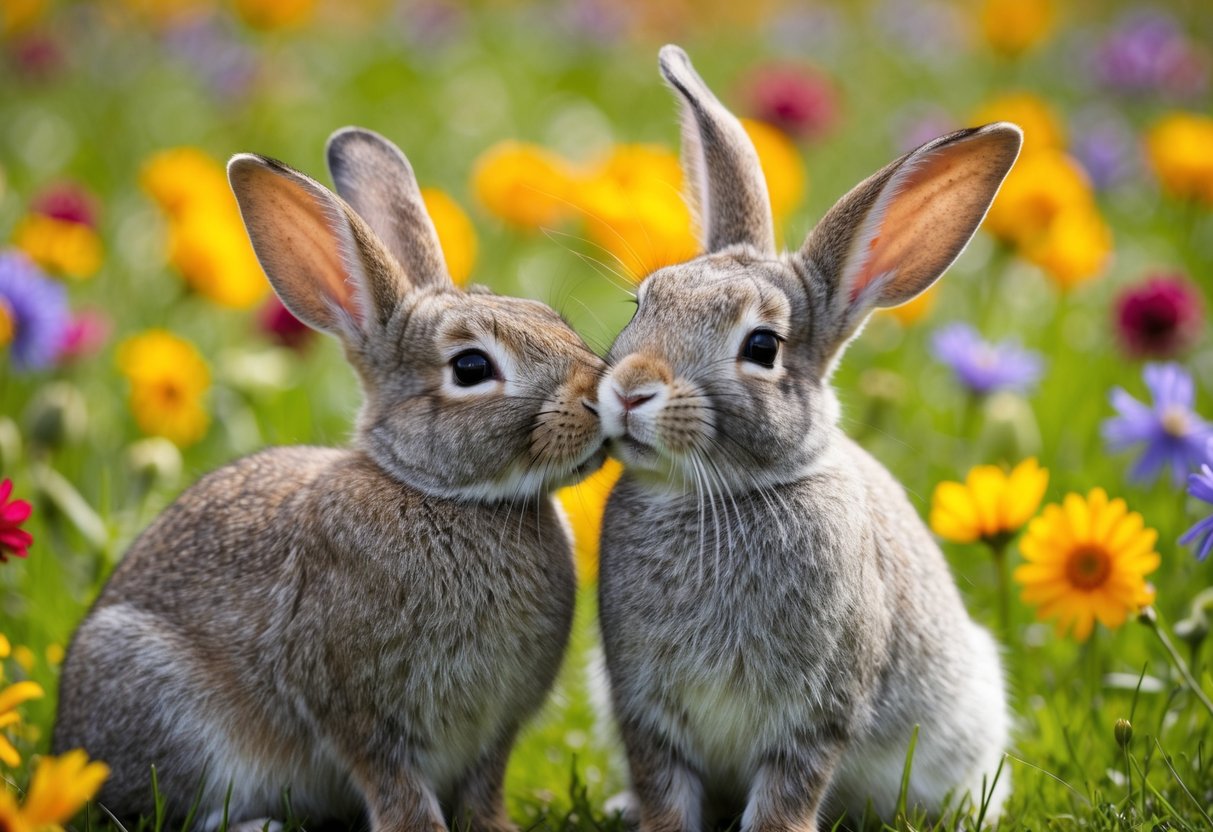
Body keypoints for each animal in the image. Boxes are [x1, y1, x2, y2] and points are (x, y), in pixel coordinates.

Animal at [53, 127, 606, 832]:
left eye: (548, 316)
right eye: (471, 367)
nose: (600, 398)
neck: (436, 493)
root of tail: (67, 741)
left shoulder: (494, 732)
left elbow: (483, 789)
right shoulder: (360, 713)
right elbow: (396, 788)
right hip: (167, 703)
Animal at [595, 46, 1023, 832]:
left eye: (762, 347)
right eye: (643, 303)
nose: (630, 389)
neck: (724, 494)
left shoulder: (813, 717)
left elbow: (785, 799)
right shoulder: (644, 711)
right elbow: (663, 793)